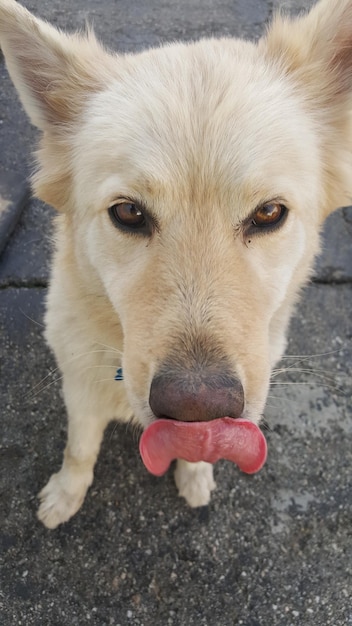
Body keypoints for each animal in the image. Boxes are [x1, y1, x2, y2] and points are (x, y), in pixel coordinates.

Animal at [1, 0, 350, 528]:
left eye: (269, 213)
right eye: (128, 212)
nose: (197, 411)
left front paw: (195, 473)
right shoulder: (79, 392)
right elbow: (79, 449)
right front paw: (66, 493)